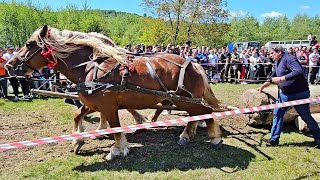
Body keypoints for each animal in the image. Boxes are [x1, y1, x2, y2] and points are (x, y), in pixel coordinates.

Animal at [6, 25, 224, 160]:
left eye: (28, 44)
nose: (9, 66)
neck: (91, 67)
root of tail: (194, 64)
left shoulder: (108, 105)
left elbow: (115, 127)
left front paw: (117, 150)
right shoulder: (94, 102)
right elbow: (78, 114)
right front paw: (78, 140)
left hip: (185, 99)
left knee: (204, 112)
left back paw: (212, 137)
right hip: (184, 100)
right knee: (195, 115)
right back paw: (187, 135)